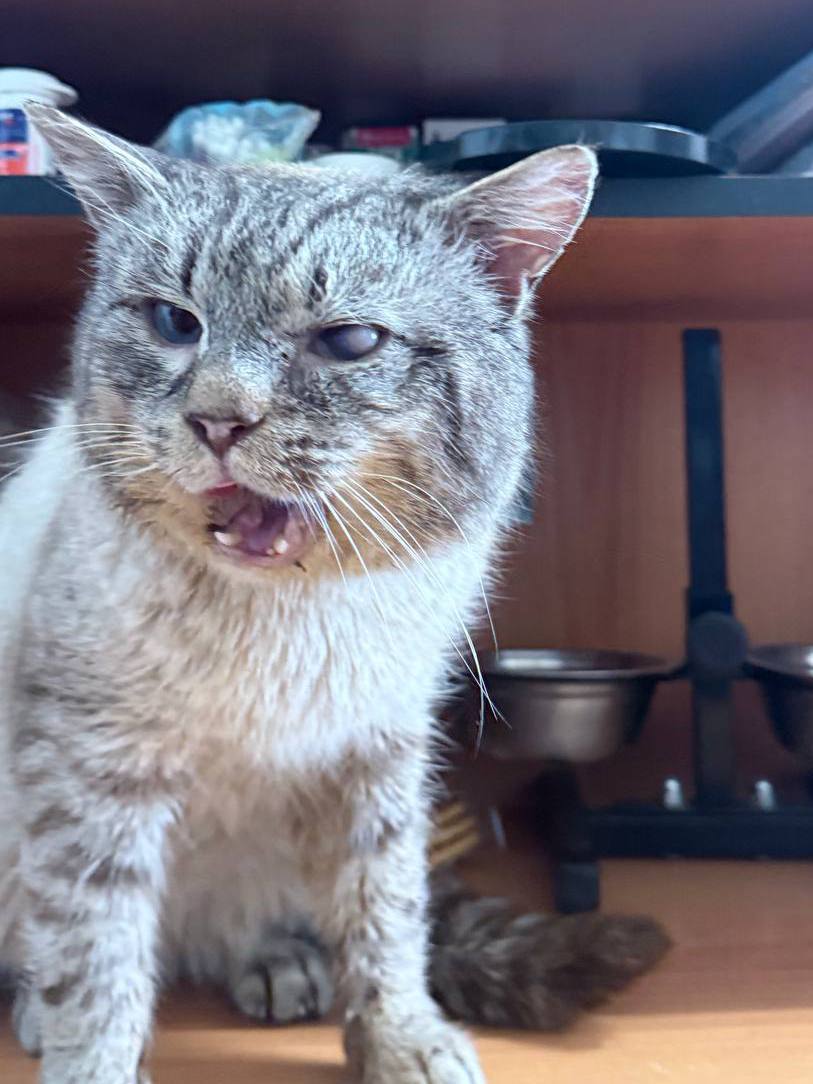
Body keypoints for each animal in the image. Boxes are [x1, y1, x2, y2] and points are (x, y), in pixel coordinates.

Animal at [0, 103, 668, 1084]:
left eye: (348, 342)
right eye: (174, 323)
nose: (217, 420)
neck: (283, 614)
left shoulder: (377, 755)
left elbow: (385, 921)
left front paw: (400, 1042)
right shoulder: (93, 772)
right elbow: (95, 957)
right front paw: (91, 1064)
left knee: (241, 927)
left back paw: (279, 967)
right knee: (68, 947)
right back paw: (43, 1018)